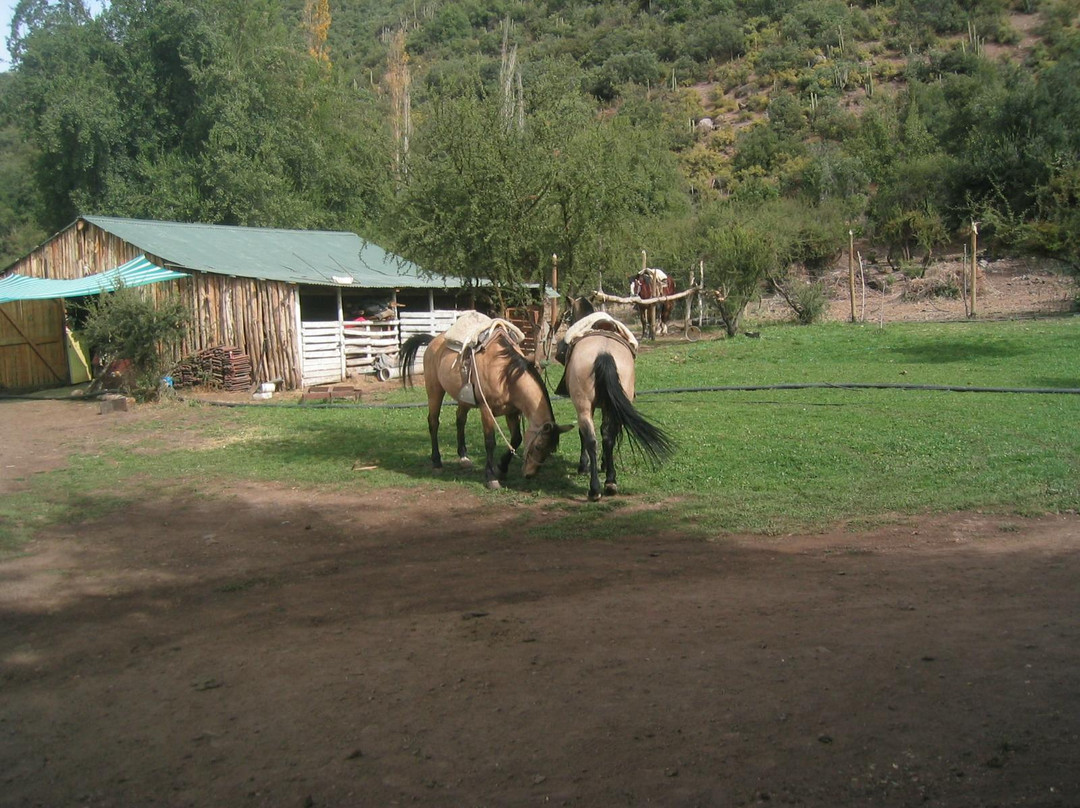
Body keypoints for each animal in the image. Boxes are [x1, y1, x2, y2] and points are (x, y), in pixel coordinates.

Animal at [400, 313, 572, 490]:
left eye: (550, 451)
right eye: (538, 446)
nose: (529, 475)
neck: (505, 374)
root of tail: (434, 341)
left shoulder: (512, 412)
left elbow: (516, 439)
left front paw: (502, 468)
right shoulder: (486, 410)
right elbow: (490, 442)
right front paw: (491, 477)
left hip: (463, 399)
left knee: (460, 419)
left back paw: (464, 457)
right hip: (434, 390)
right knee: (433, 422)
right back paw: (436, 462)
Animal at [556, 303, 674, 501]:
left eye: (568, 313)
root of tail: (604, 353)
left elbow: (586, 434)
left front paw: (584, 466)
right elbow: (605, 433)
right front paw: (605, 465)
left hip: (584, 407)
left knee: (591, 439)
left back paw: (595, 489)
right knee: (607, 436)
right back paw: (610, 482)